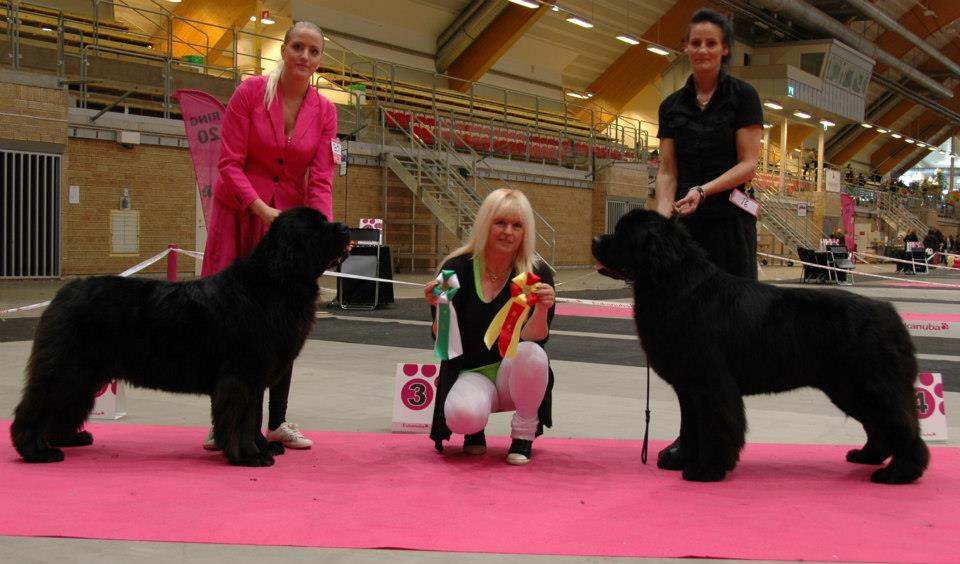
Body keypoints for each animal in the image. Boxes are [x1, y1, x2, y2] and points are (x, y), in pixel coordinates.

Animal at [11, 207, 350, 467]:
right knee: (38, 403)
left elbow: (252, 417)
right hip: (68, 368)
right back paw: (36, 451)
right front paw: (249, 457)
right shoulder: (240, 375)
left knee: (66, 404)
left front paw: (261, 447)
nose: (346, 227)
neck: (276, 283)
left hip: (86, 374)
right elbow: (240, 418)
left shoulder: (255, 378)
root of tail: (63, 293)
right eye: (318, 227)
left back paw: (69, 438)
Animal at [592, 209, 928, 484]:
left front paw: (707, 469)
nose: (595, 239)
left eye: (624, 234)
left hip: (868, 385)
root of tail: (891, 314)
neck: (674, 285)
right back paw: (867, 456)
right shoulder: (689, 387)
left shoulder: (713, 382)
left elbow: (718, 425)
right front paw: (680, 459)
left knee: (901, 425)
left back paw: (900, 473)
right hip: (848, 389)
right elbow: (690, 427)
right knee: (879, 425)